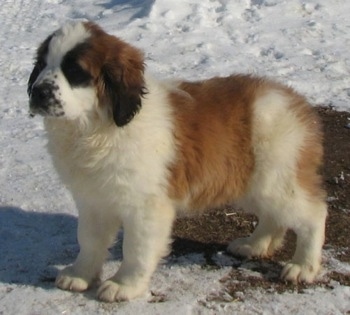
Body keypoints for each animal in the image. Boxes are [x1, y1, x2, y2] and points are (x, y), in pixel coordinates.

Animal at [28, 21, 328, 302]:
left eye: (75, 71)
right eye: (41, 65)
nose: (37, 92)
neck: (97, 127)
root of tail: (297, 102)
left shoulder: (146, 207)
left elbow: (136, 249)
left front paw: (124, 285)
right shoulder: (93, 199)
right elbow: (89, 240)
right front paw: (80, 274)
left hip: (278, 179)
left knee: (313, 214)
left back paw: (303, 266)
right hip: (252, 183)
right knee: (273, 215)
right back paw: (255, 244)